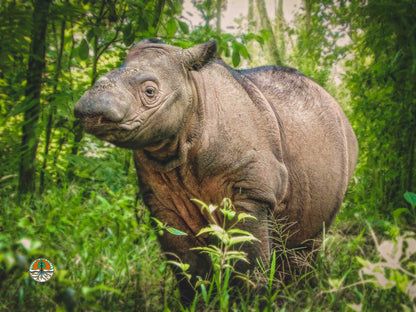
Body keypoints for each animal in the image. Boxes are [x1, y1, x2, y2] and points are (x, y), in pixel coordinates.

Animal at [74, 38, 358, 300]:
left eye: (150, 92)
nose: (91, 108)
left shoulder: (251, 193)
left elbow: (248, 262)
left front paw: (250, 301)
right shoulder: (162, 203)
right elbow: (188, 265)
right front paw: (197, 300)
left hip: (344, 142)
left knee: (311, 240)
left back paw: (299, 293)